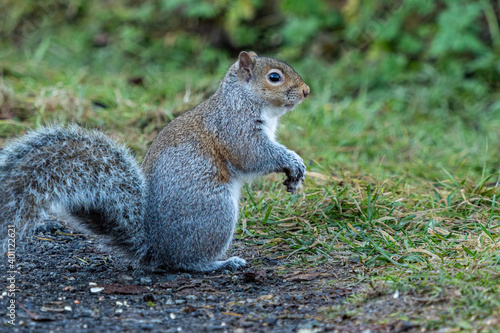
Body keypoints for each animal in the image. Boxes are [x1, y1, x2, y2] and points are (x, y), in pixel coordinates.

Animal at [0, 51, 310, 270]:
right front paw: (293, 162)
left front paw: (294, 178)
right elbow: (254, 155)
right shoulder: (235, 128)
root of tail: (155, 247)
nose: (306, 91)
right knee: (186, 262)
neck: (244, 99)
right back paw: (220, 263)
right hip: (215, 212)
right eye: (274, 77)